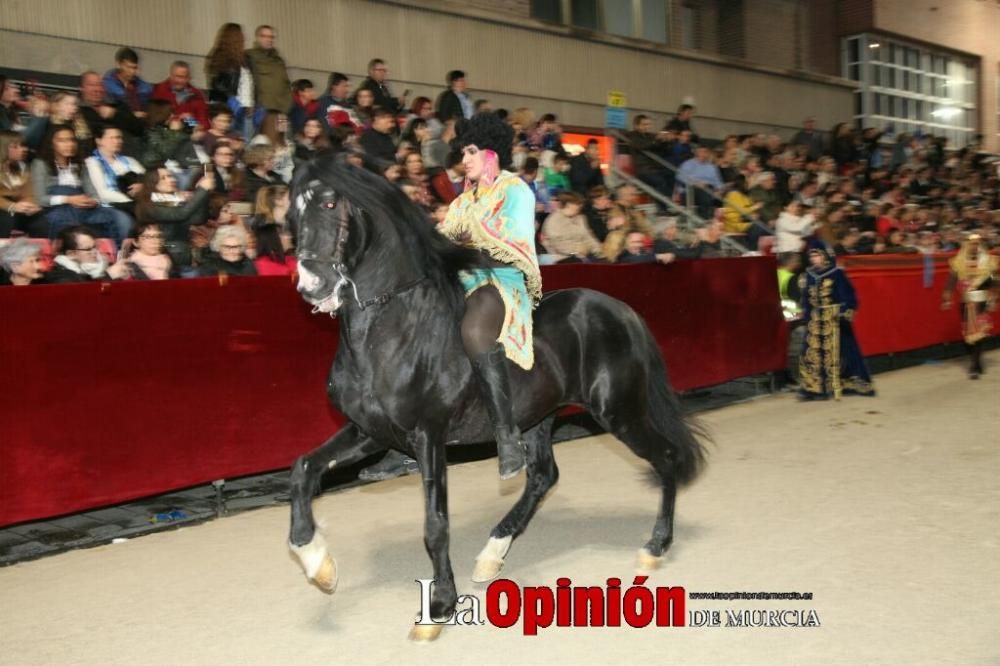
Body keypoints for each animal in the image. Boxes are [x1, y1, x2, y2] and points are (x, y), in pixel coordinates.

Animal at [290, 154, 708, 640]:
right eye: (293, 212)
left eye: (330, 202)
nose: (312, 284)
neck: (393, 328)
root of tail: (622, 311)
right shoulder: (368, 432)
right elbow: (303, 470)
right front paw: (317, 564)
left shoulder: (428, 435)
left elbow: (435, 524)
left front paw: (439, 606)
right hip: (539, 418)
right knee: (544, 475)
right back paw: (492, 553)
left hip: (618, 411)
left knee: (665, 458)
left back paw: (654, 546)